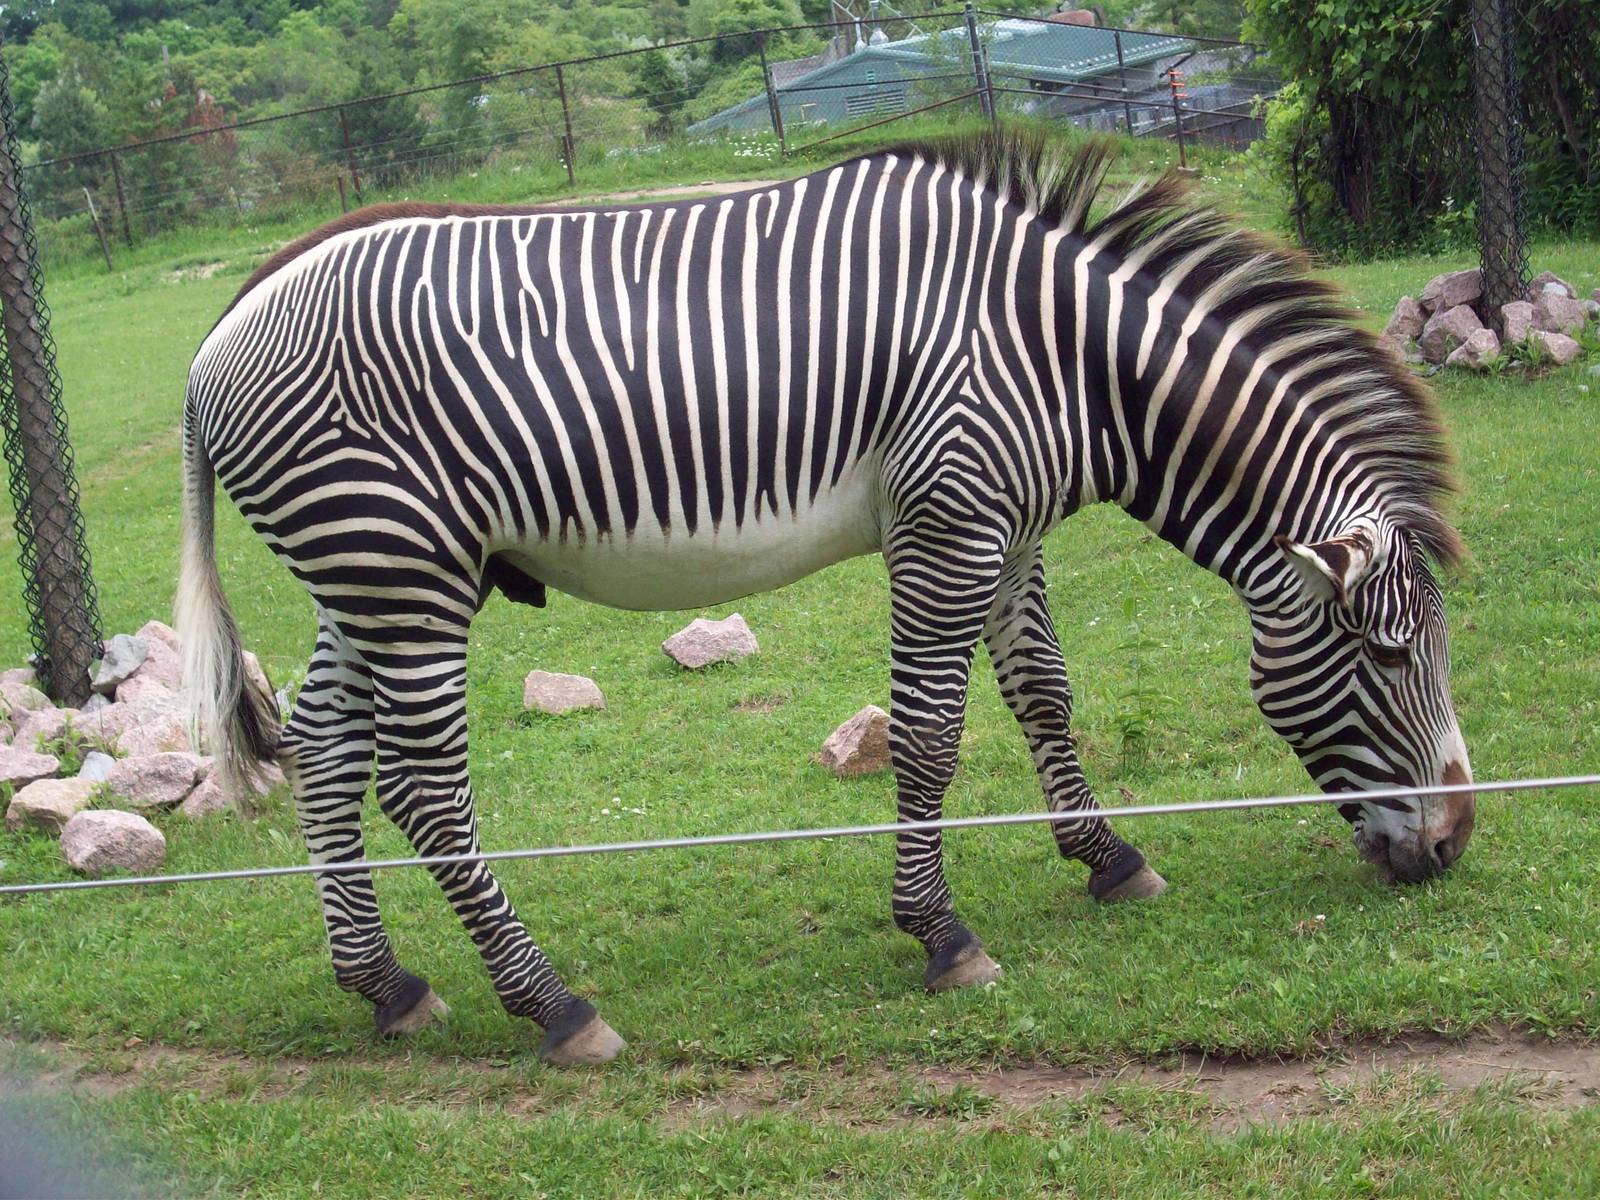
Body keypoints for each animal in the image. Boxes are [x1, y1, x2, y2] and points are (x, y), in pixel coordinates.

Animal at [179, 132, 1475, 1066]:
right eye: (1390, 658)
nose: (1454, 846)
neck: (1067, 355)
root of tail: (218, 331)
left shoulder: (1008, 528)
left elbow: (1045, 694)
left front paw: (1108, 859)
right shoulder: (948, 521)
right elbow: (934, 734)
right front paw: (942, 937)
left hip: (363, 575)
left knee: (328, 747)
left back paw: (386, 985)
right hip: (400, 568)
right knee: (422, 786)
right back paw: (553, 1006)